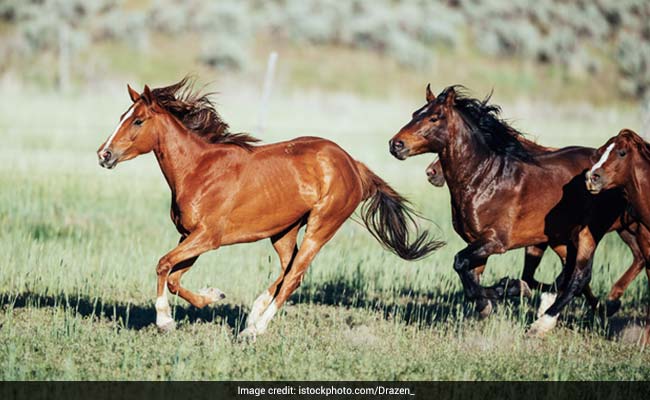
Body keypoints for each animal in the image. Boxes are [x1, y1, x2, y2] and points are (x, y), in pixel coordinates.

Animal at [96, 78, 443, 336]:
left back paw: (255, 329)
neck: (198, 170)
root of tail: (352, 163)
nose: (104, 154)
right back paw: (253, 314)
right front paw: (213, 295)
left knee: (295, 276)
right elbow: (173, 276)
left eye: (138, 120)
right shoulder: (189, 236)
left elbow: (163, 264)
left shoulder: (208, 237)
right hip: (284, 232)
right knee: (287, 268)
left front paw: (165, 320)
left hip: (320, 227)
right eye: (121, 117)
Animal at [389, 84, 634, 337]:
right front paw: (488, 304)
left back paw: (544, 322)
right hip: (564, 238)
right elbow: (470, 279)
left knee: (581, 275)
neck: (483, 179)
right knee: (573, 272)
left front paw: (512, 289)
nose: (396, 144)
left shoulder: (495, 241)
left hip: (589, 233)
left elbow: (460, 263)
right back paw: (594, 308)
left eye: (434, 117)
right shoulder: (476, 242)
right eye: (414, 114)